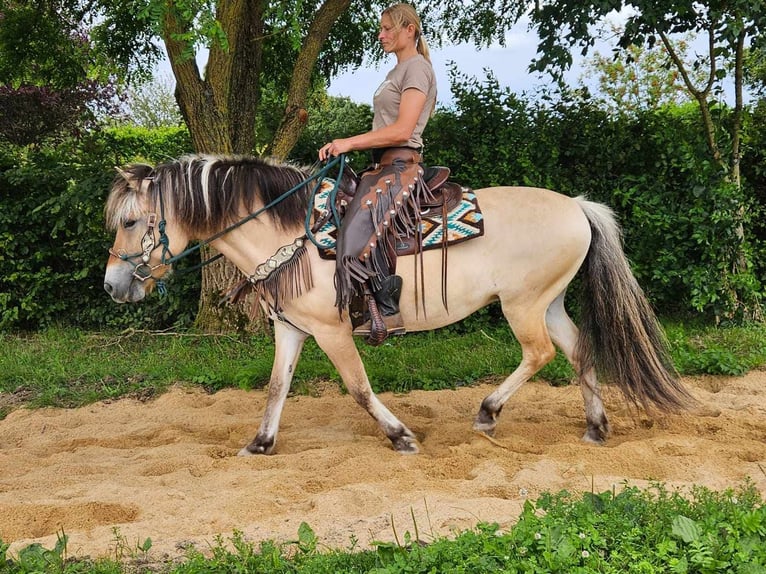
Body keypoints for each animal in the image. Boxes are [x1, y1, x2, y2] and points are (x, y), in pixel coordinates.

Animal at [103, 152, 696, 454]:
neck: (290, 232)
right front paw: (261, 442)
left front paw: (400, 435)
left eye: (131, 221)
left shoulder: (333, 331)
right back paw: (595, 427)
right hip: (547, 301)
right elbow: (276, 388)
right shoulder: (292, 328)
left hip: (522, 304)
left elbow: (359, 389)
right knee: (578, 351)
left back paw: (488, 413)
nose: (112, 285)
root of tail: (577, 206)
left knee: (540, 354)